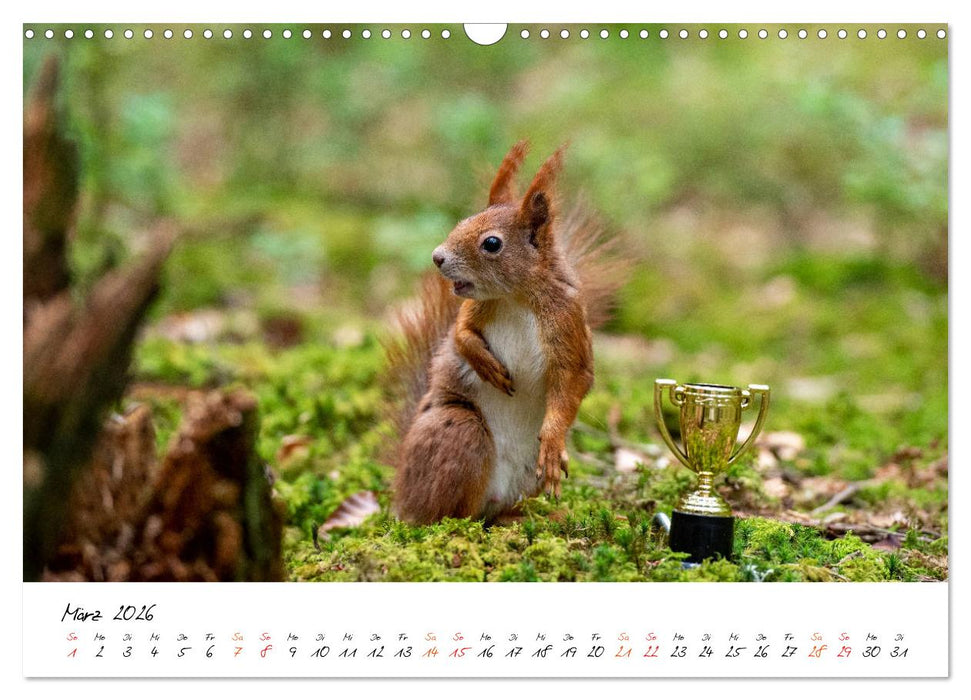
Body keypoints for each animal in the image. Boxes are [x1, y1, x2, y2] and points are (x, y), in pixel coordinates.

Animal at [386, 141, 624, 525]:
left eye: (492, 244)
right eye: (463, 221)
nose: (437, 257)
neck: (517, 298)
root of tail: (403, 493)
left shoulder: (567, 322)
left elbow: (573, 382)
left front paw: (554, 443)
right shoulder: (475, 309)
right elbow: (460, 333)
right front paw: (485, 365)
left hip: (519, 468)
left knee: (489, 513)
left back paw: (525, 516)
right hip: (461, 431)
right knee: (449, 514)